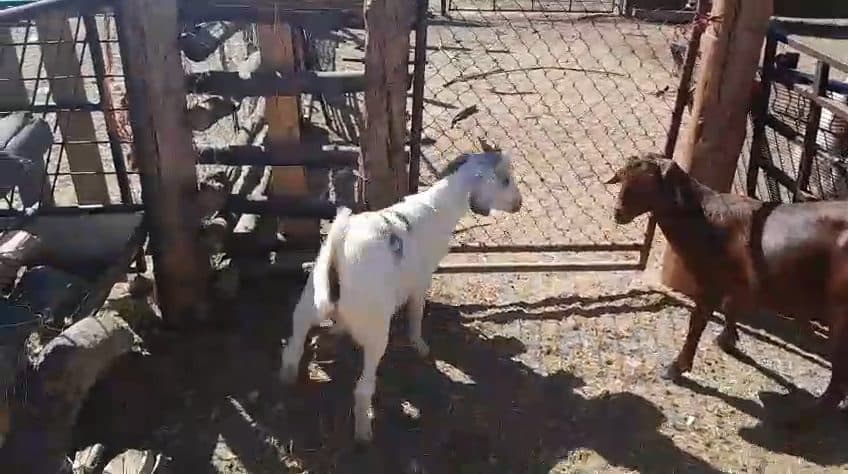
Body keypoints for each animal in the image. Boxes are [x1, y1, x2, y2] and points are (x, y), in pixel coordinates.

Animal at [279, 140, 523, 442]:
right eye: (505, 179)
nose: (519, 204)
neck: (436, 209)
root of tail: (338, 246)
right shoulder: (421, 279)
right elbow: (416, 314)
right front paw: (420, 346)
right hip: (375, 329)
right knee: (362, 389)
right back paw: (364, 434)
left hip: (309, 301)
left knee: (292, 348)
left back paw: (290, 381)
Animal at [604, 153, 848, 428]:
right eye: (623, 178)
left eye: (648, 182)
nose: (618, 212)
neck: (705, 218)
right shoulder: (735, 283)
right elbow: (731, 306)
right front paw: (727, 339)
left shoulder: (710, 282)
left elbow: (697, 323)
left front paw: (677, 367)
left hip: (841, 312)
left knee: (838, 382)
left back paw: (797, 421)